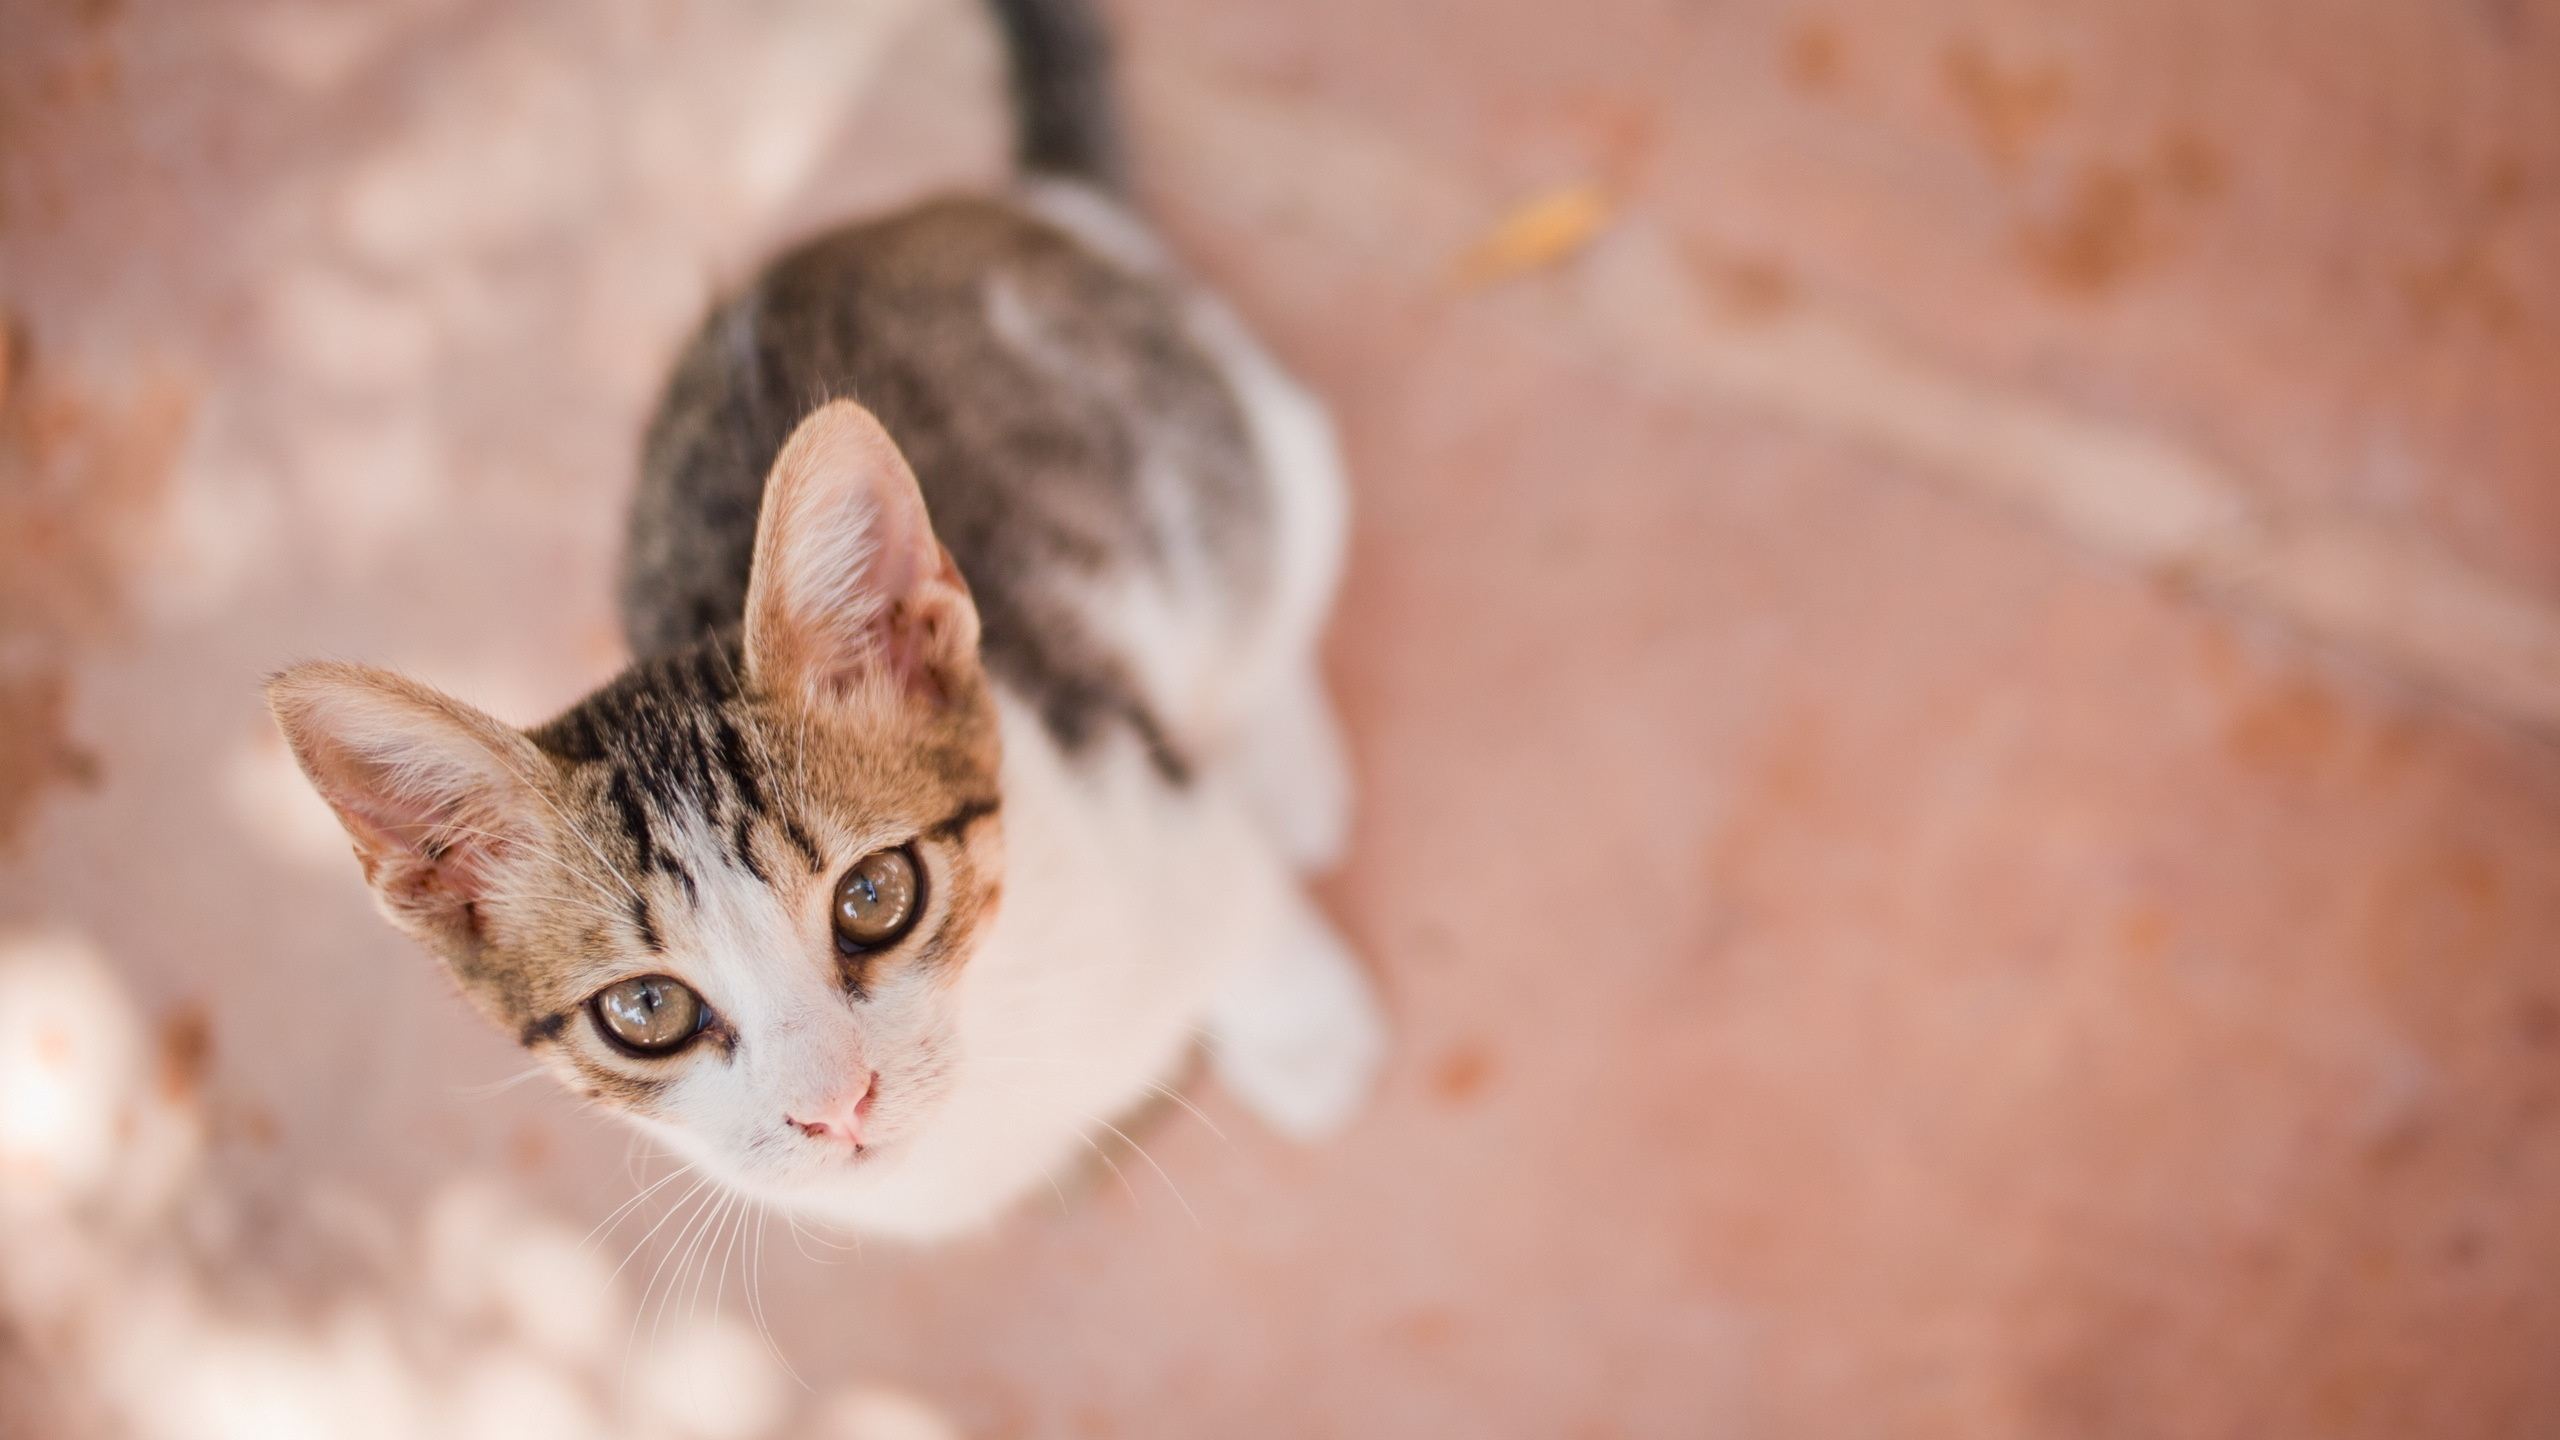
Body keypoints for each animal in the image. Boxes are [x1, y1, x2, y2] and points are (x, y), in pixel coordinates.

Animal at [264, 0, 1382, 1235]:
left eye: (874, 896)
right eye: (645, 1011)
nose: (836, 1107)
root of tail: (1020, 206)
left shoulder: (1130, 787)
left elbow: (1238, 902)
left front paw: (1307, 1029)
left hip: (1236, 457)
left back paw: (1281, 759)